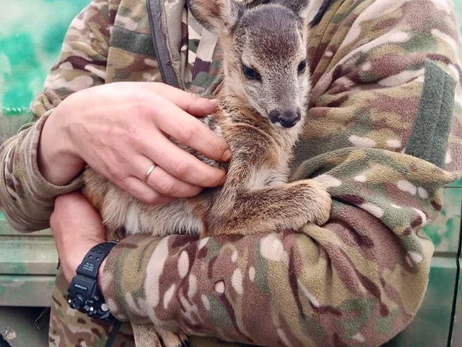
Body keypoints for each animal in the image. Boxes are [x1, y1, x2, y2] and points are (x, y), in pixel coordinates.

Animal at [83, 0, 330, 346]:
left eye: (302, 64)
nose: (288, 115)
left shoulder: (272, 178)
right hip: (110, 203)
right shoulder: (222, 197)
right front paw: (322, 202)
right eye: (250, 70)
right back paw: (154, 337)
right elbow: (313, 196)